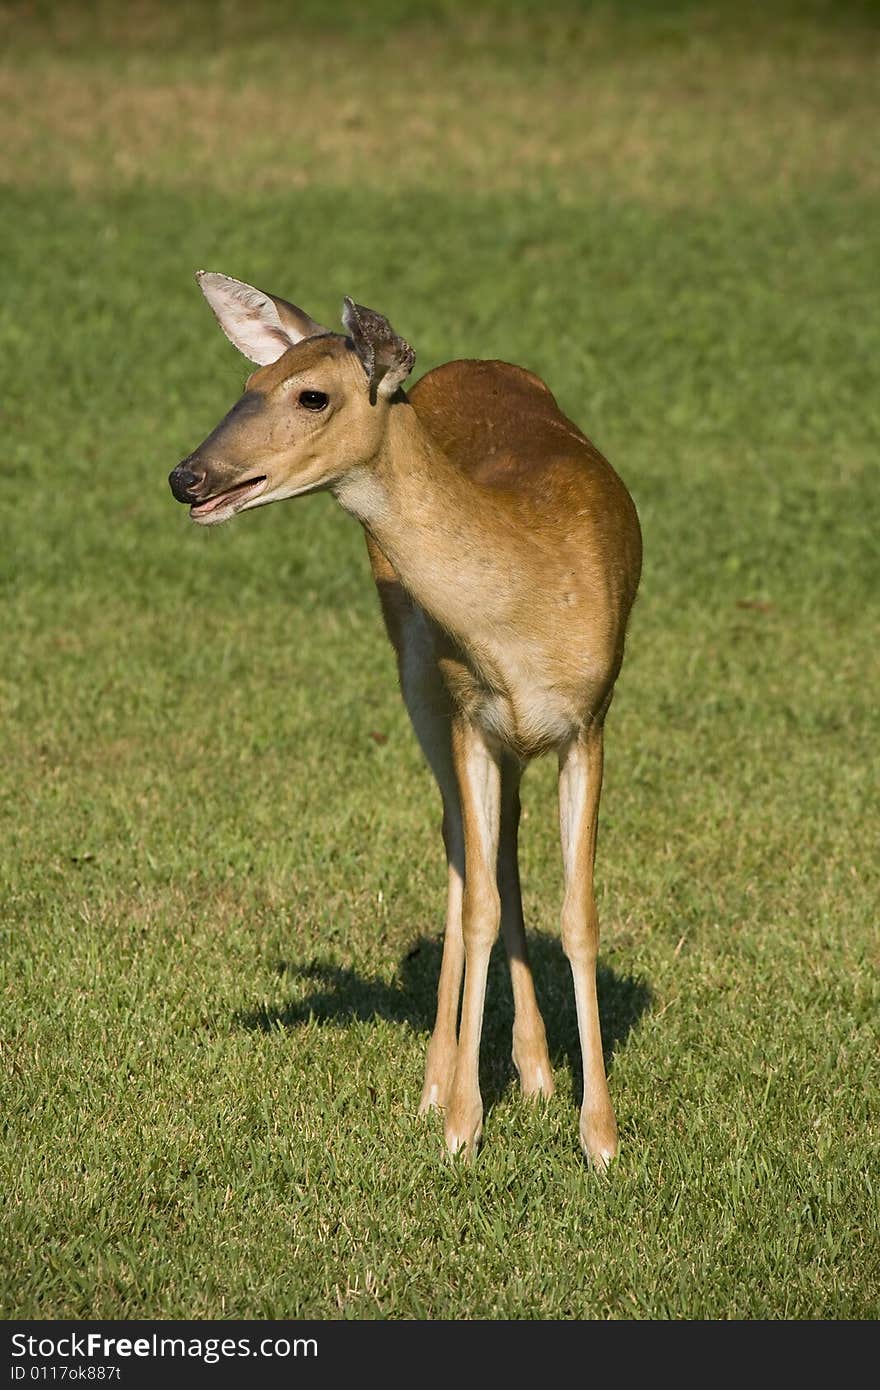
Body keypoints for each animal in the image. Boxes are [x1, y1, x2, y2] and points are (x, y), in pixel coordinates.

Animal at [168, 271, 642, 1162]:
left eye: (310, 395)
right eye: (249, 382)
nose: (188, 477)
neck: (526, 608)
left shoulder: (589, 718)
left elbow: (580, 914)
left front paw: (600, 1138)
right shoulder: (466, 710)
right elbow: (477, 901)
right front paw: (461, 1123)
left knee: (498, 847)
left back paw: (535, 1071)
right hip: (416, 669)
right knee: (463, 852)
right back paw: (443, 1082)